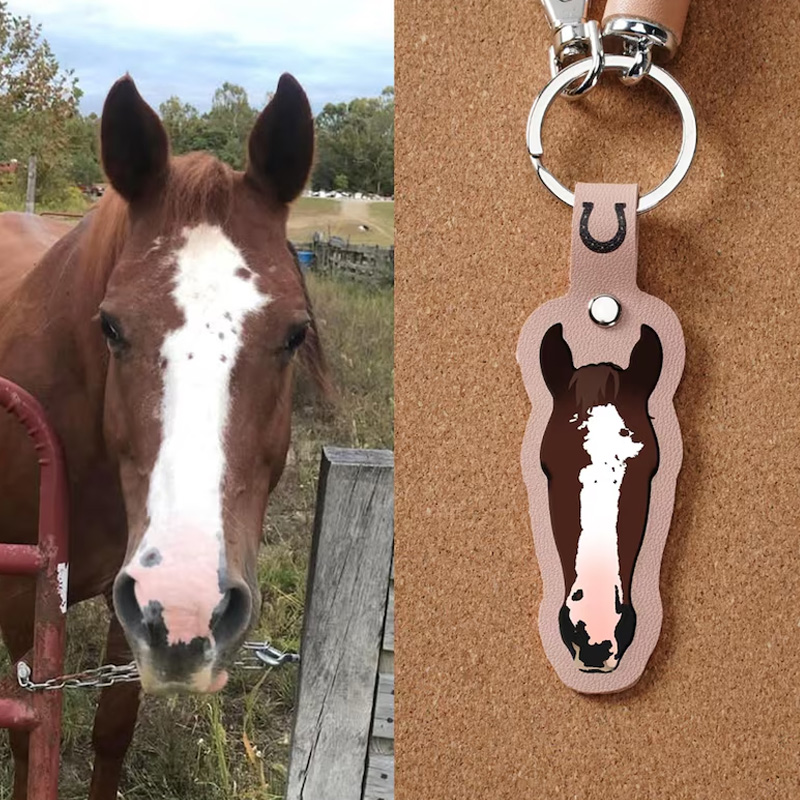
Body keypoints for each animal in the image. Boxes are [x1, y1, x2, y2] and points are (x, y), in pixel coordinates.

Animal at [0, 72, 328, 799]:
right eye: (111, 326)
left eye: (294, 334)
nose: (188, 604)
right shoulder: (18, 597)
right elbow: (26, 734)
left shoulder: (133, 613)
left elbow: (112, 727)